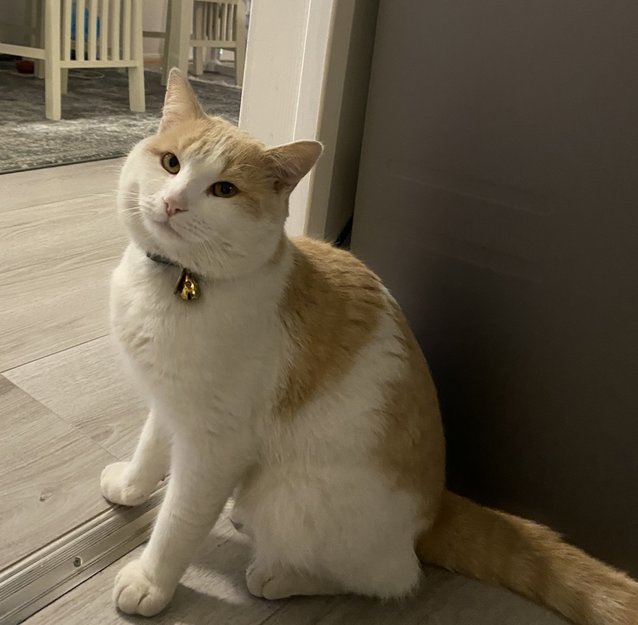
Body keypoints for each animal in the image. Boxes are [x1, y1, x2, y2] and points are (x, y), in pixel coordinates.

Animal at [101, 68, 638, 624]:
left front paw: (150, 582)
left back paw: (279, 575)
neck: (176, 281)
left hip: (287, 497)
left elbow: (179, 520)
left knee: (391, 579)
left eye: (223, 189)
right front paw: (131, 487)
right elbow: (151, 447)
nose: (173, 202)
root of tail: (437, 504)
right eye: (171, 163)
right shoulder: (170, 401)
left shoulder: (214, 444)